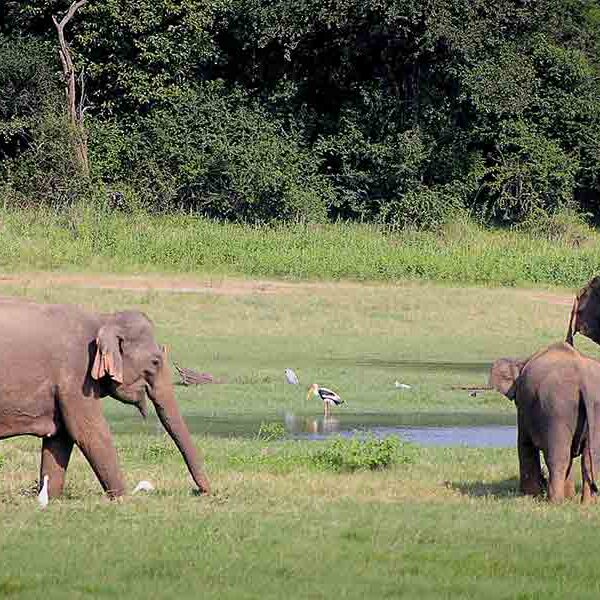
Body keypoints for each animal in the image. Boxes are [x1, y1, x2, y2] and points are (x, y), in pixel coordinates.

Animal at [0, 298, 211, 500]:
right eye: (155, 362)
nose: (201, 492)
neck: (103, 319)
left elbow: (62, 436)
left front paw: (49, 499)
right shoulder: (76, 374)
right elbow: (87, 431)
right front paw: (124, 499)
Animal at [492, 342, 600, 502]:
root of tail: (583, 379)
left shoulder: (523, 406)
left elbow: (524, 443)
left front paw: (529, 495)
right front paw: (569, 497)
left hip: (556, 409)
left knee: (558, 455)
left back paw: (555, 502)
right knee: (590, 457)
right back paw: (587, 503)